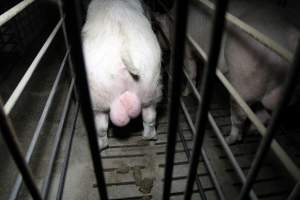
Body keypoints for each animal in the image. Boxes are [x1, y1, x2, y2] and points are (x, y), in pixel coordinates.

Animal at [81, 0, 162, 149]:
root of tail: (124, 48)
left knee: (100, 126)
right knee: (149, 117)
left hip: (97, 97)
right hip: (151, 86)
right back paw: (149, 137)